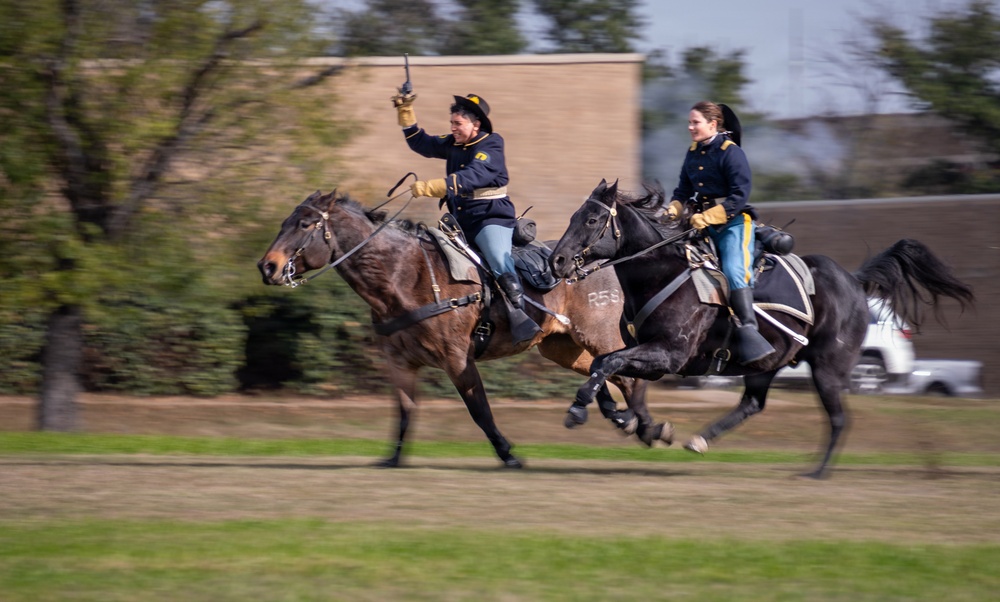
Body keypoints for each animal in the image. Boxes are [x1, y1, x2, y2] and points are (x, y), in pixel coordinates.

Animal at [258, 189, 673, 468]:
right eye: (284, 223)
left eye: (305, 224)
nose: (268, 267)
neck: (406, 275)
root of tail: (602, 264)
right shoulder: (400, 362)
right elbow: (405, 410)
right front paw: (393, 458)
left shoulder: (456, 359)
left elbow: (480, 411)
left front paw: (508, 454)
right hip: (561, 346)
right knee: (603, 373)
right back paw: (626, 420)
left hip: (598, 335)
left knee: (625, 374)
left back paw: (646, 426)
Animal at [549, 179, 974, 478]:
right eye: (573, 216)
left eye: (591, 220)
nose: (557, 260)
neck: (661, 273)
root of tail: (854, 282)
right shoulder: (650, 354)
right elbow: (614, 375)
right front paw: (643, 426)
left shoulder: (668, 354)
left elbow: (606, 365)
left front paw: (581, 410)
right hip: (765, 364)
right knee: (752, 403)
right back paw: (701, 439)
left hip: (827, 368)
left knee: (838, 418)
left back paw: (817, 472)